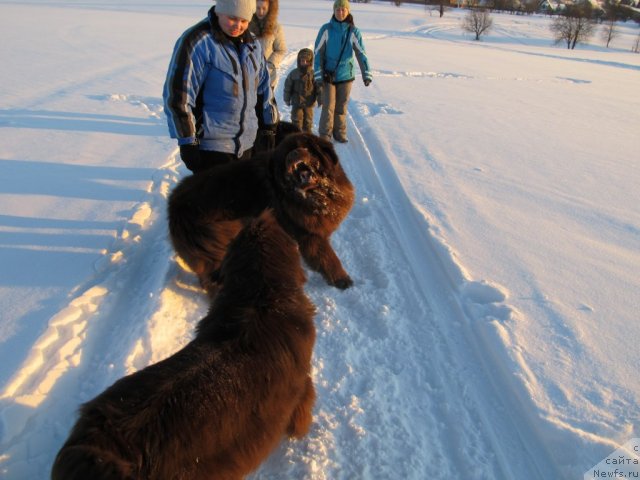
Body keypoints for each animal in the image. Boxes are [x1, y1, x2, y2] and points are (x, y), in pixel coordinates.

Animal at [168, 132, 356, 296]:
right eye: (285, 155)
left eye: (305, 146)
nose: (293, 153)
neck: (316, 195)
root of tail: (173, 207)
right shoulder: (309, 235)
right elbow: (328, 258)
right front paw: (342, 280)